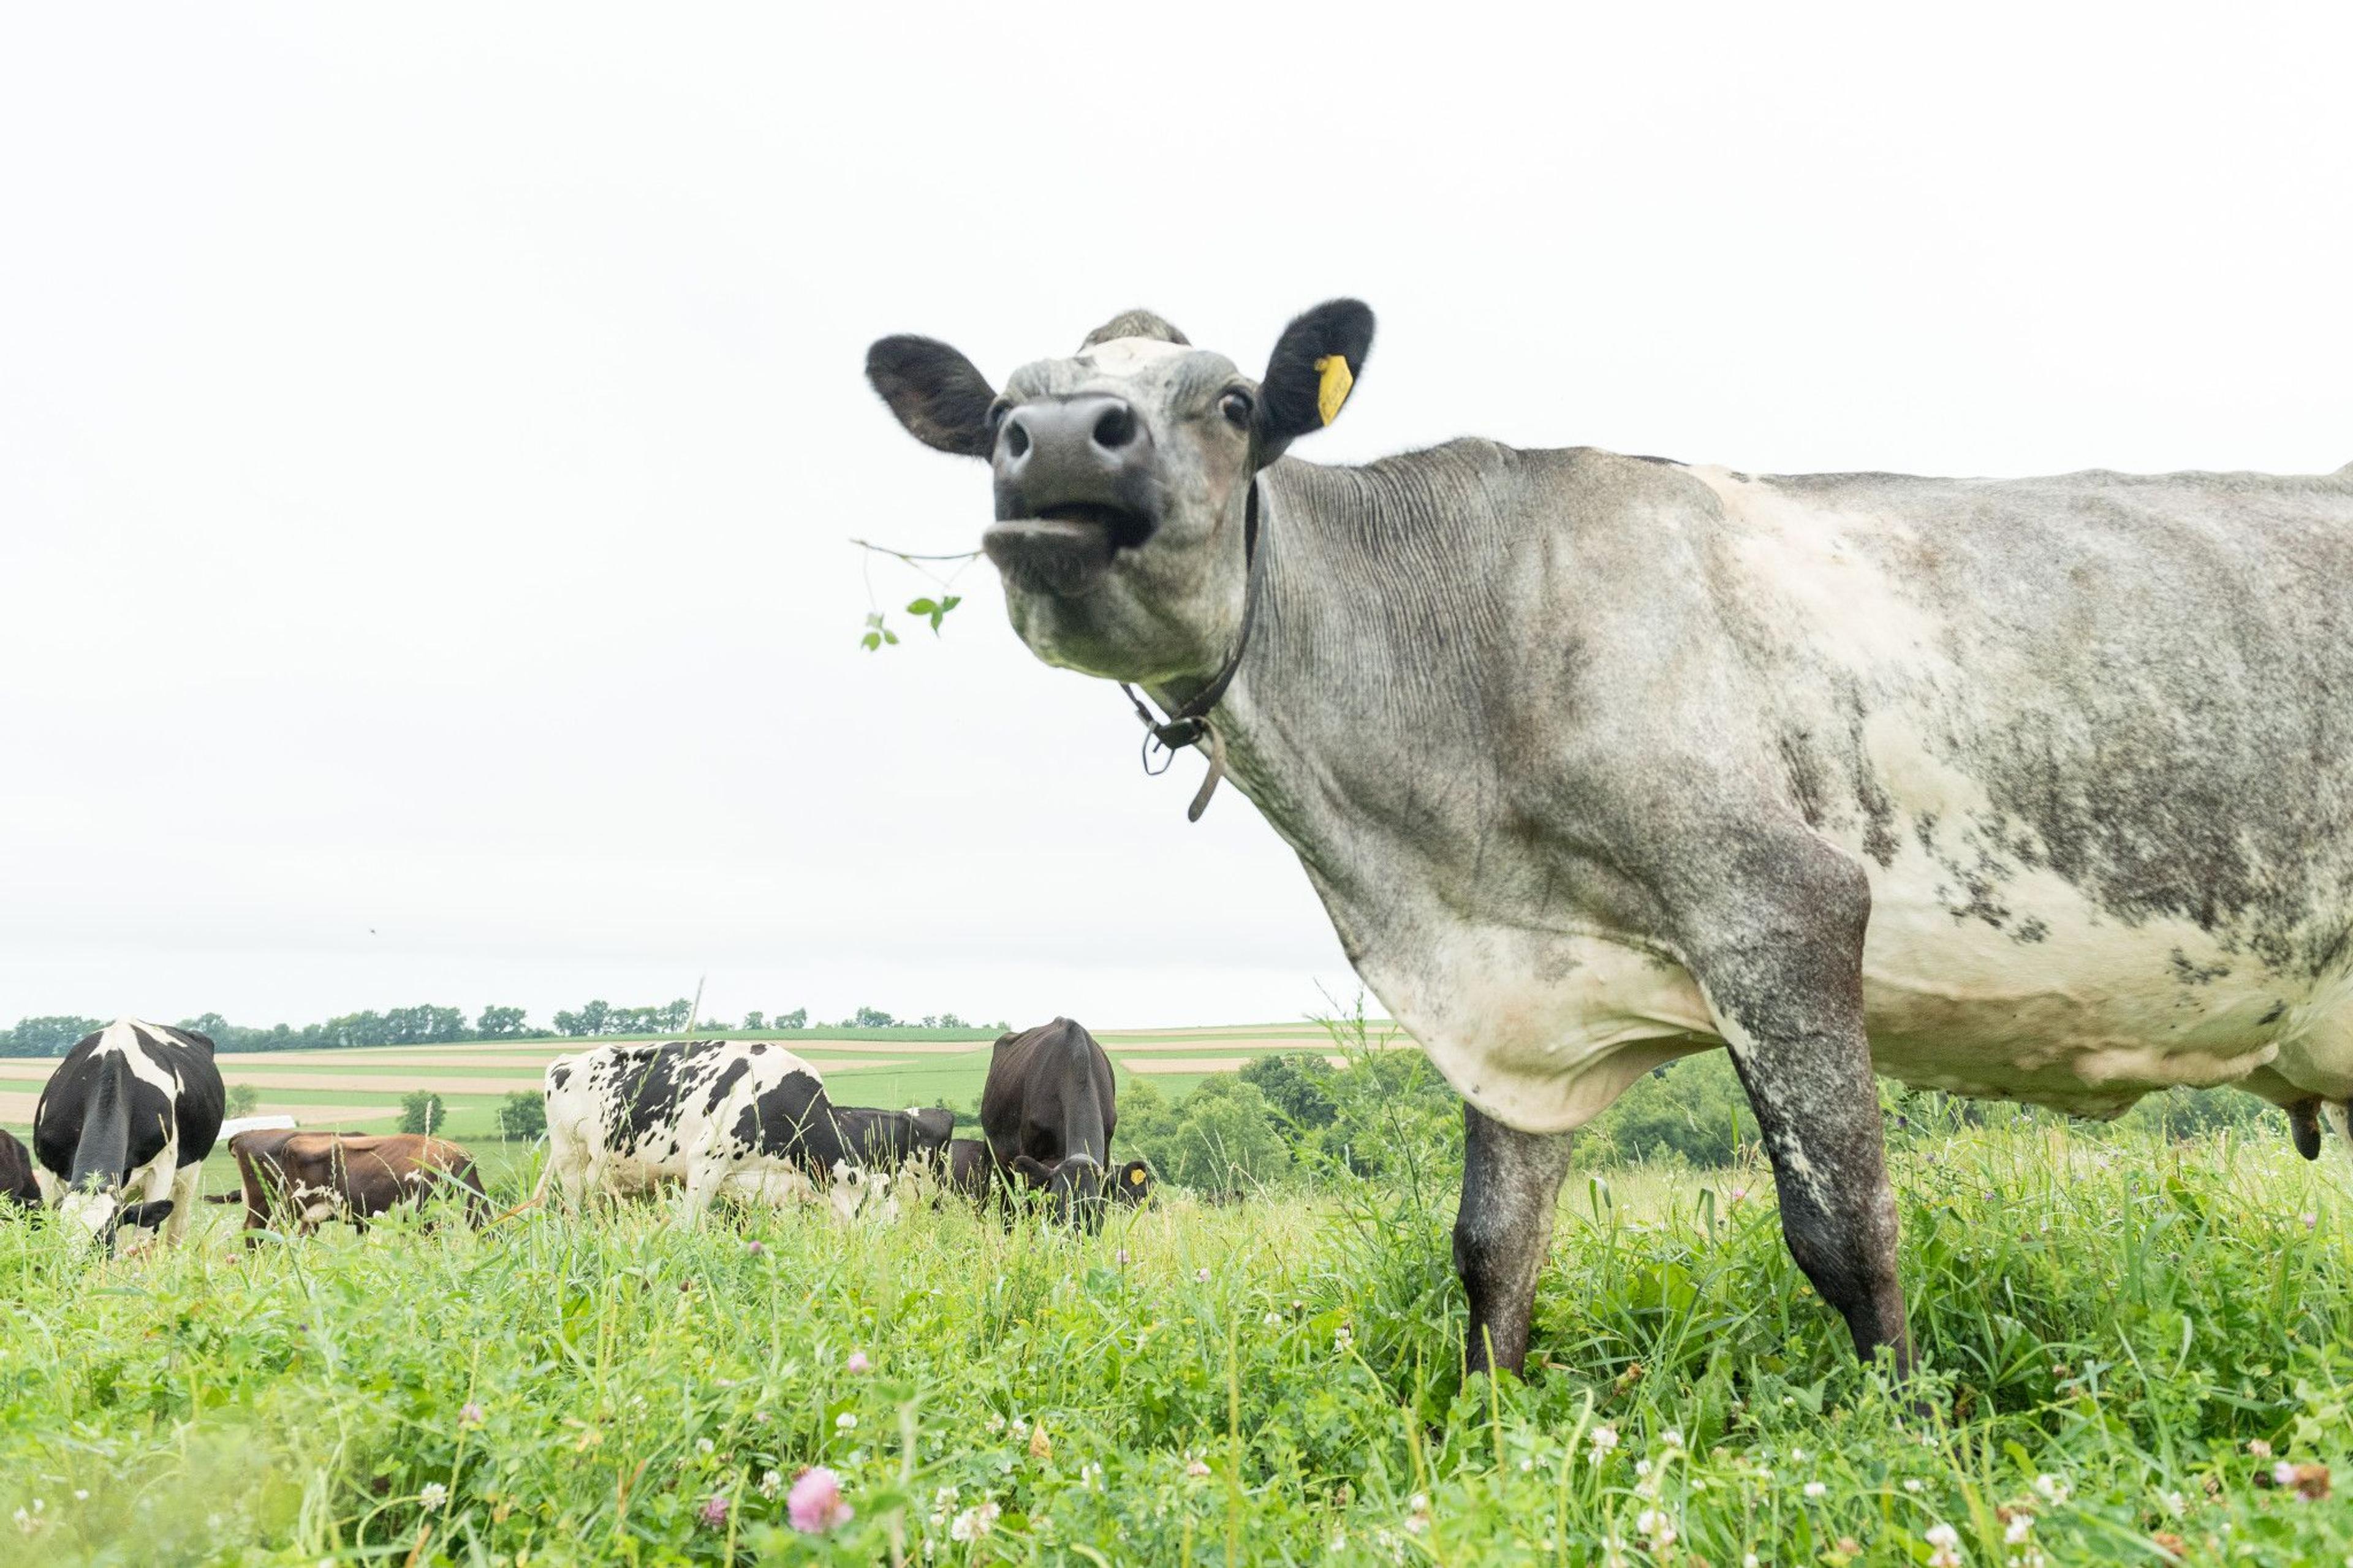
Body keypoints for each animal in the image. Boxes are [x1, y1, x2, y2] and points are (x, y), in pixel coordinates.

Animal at [32, 1018, 225, 1250]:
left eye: (105, 1243)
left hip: (189, 1178)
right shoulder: (48, 1173)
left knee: (175, 1233)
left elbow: (141, 1242)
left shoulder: (161, 1171)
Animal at [541, 1040, 945, 1224]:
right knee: (573, 1210)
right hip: (569, 1158)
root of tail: (565, 1060)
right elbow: (689, 1225)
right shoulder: (705, 1163)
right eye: (889, 1218)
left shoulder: (777, 1187)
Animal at [866, 301, 2353, 1380]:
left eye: (1231, 403)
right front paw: (1484, 1433)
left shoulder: (1779, 904)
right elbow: (1492, 1248)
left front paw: (1910, 1424)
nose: (1065, 440)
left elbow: (1845, 1225)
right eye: (1001, 414)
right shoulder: (1511, 994)